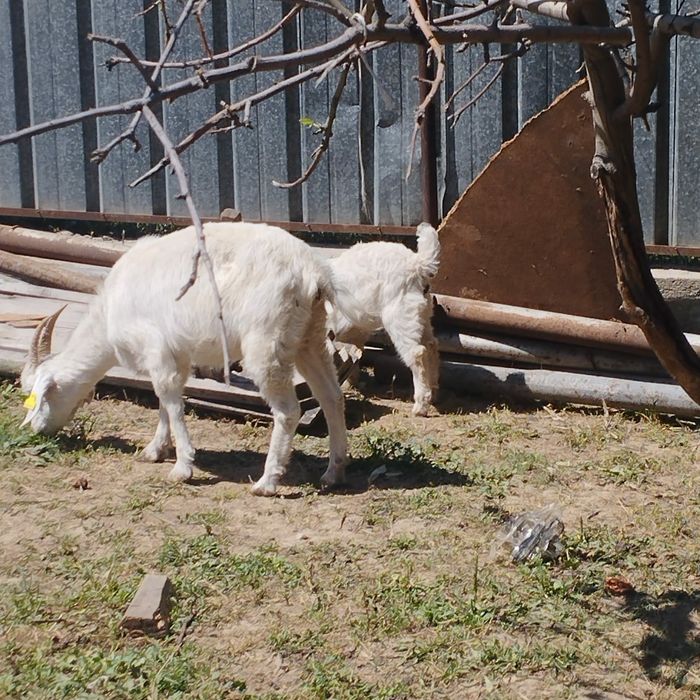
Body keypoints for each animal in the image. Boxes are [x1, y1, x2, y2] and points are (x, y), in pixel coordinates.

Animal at [20, 222, 352, 496]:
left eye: (39, 395)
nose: (36, 431)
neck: (108, 315)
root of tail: (312, 271)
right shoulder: (174, 354)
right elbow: (166, 401)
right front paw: (155, 450)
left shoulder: (155, 348)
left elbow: (170, 399)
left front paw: (182, 467)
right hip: (309, 336)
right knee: (331, 396)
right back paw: (333, 473)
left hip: (267, 340)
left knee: (288, 411)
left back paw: (267, 482)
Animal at [326, 222, 441, 416]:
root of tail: (416, 264)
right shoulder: (352, 330)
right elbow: (353, 354)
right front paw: (351, 382)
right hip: (423, 315)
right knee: (431, 345)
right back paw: (433, 390)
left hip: (400, 317)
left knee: (417, 353)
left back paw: (420, 405)